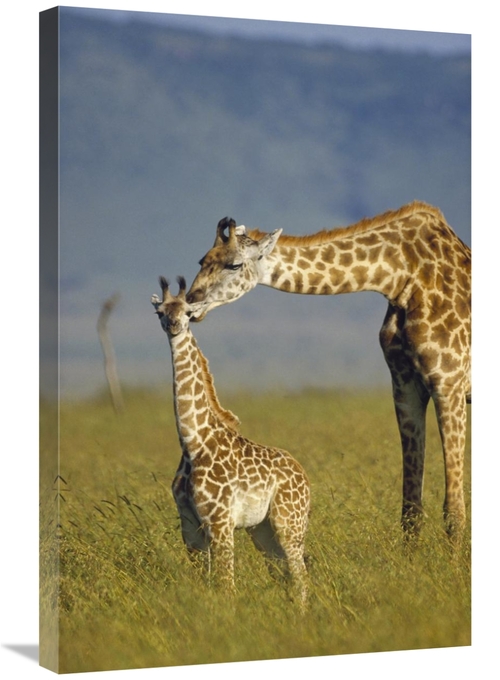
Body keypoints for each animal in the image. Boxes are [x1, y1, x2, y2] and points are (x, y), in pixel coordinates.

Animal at [151, 276, 311, 605]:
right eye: (159, 312)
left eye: (188, 312)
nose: (173, 325)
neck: (193, 442)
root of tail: (303, 474)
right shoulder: (190, 525)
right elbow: (207, 583)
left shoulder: (220, 521)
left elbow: (227, 586)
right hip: (262, 529)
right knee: (284, 576)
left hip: (289, 522)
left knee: (301, 578)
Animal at [186, 201, 471, 543]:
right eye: (202, 261)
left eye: (234, 265)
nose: (190, 302)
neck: (400, 278)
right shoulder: (405, 386)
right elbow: (411, 508)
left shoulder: (449, 382)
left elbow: (454, 510)